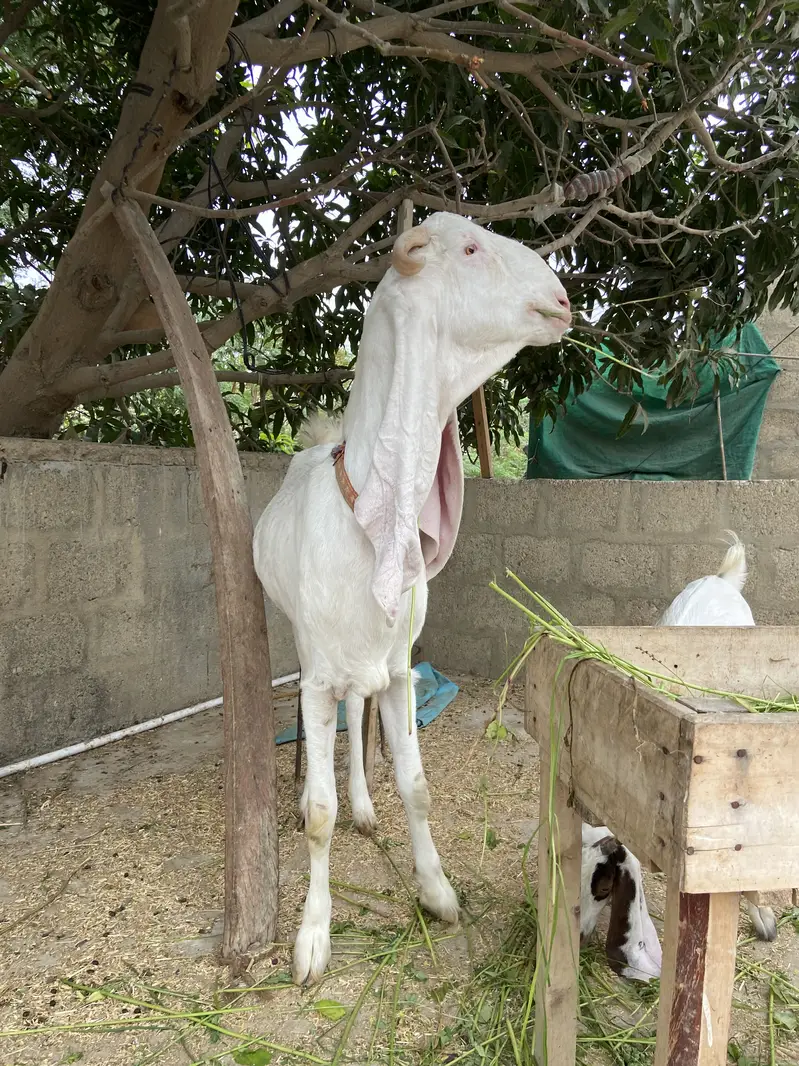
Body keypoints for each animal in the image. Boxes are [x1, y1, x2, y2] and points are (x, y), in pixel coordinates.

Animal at [253, 212, 571, 984]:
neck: (365, 518)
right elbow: (317, 814)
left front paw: (437, 892)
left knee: (358, 716)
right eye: (470, 248)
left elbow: (417, 784)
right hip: (298, 643)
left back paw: (366, 804)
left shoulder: (396, 668)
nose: (561, 300)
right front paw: (312, 937)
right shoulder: (316, 673)